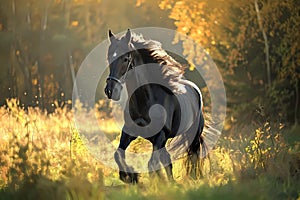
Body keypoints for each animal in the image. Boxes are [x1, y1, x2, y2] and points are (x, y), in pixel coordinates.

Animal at [103, 28, 206, 184]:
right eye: (109, 57)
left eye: (126, 59)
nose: (110, 90)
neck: (146, 101)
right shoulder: (129, 131)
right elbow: (118, 154)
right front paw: (129, 176)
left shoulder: (160, 135)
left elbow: (151, 163)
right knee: (167, 159)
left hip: (191, 135)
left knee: (193, 155)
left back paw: (192, 178)